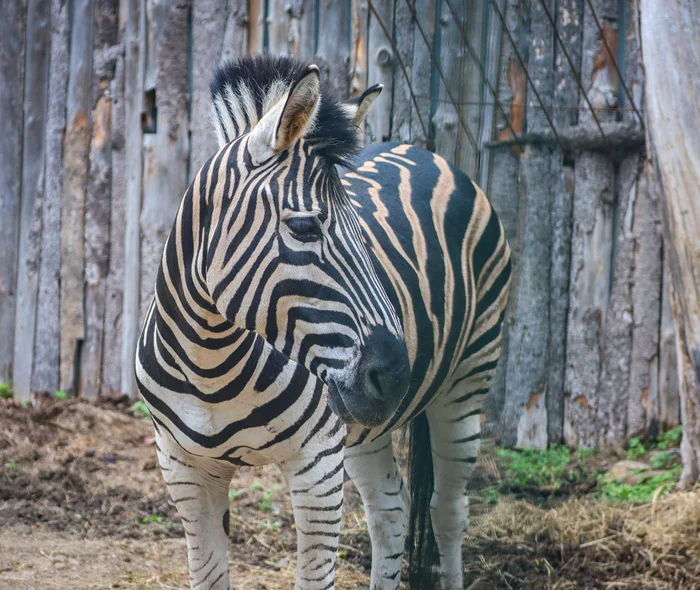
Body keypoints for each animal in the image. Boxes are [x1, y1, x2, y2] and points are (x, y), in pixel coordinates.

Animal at [135, 53, 508, 588]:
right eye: (304, 227)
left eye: (362, 231)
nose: (398, 375)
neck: (211, 362)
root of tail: (424, 152)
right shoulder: (183, 468)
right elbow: (208, 575)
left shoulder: (317, 468)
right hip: (367, 423)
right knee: (391, 510)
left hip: (466, 383)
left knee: (448, 510)